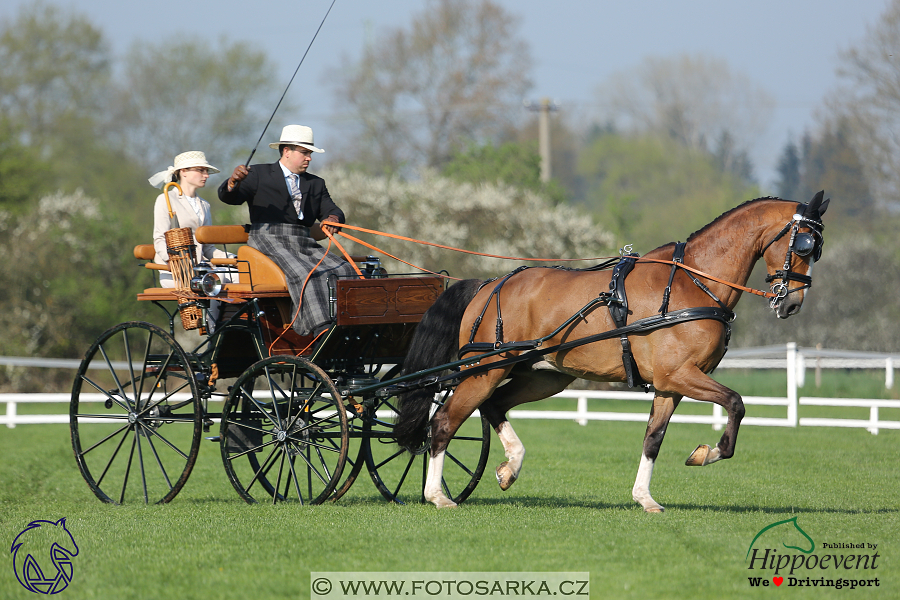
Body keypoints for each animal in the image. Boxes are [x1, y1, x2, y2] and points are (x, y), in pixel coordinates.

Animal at [394, 192, 828, 510]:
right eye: (805, 245)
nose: (792, 303)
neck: (691, 284)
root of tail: (489, 285)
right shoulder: (680, 375)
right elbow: (736, 403)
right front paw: (708, 452)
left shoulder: (669, 385)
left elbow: (653, 439)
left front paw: (645, 498)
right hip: (486, 369)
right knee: (444, 422)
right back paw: (438, 496)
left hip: (542, 376)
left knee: (493, 407)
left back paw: (509, 468)